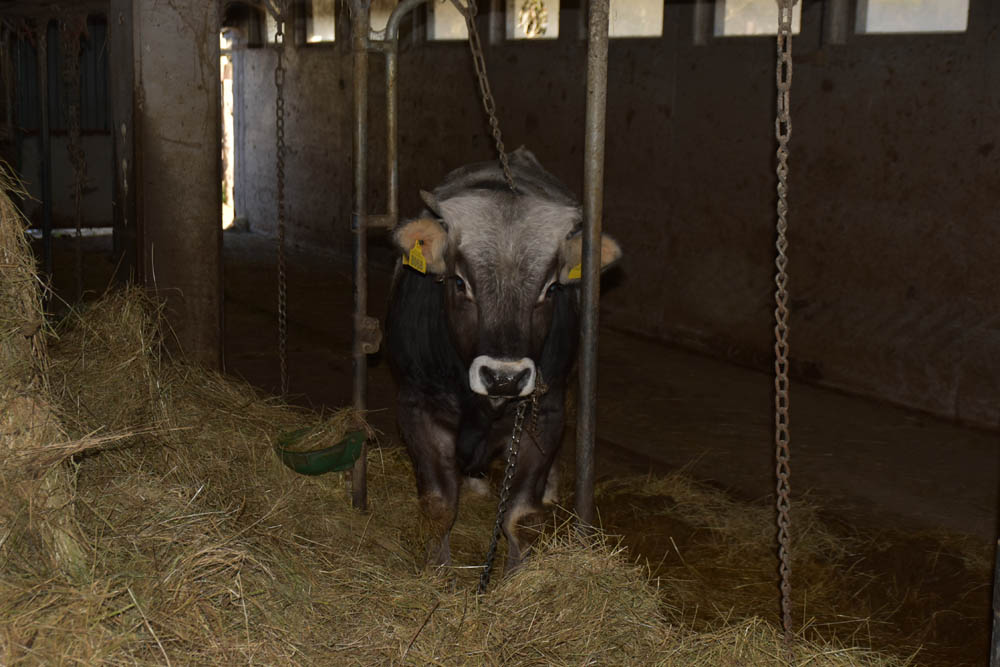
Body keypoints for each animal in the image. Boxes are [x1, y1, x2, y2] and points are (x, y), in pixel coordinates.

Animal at [385, 148, 621, 572]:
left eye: (551, 288)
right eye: (459, 282)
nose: (503, 377)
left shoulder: (545, 411)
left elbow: (521, 516)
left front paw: (518, 576)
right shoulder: (415, 405)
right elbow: (438, 505)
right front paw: (437, 571)